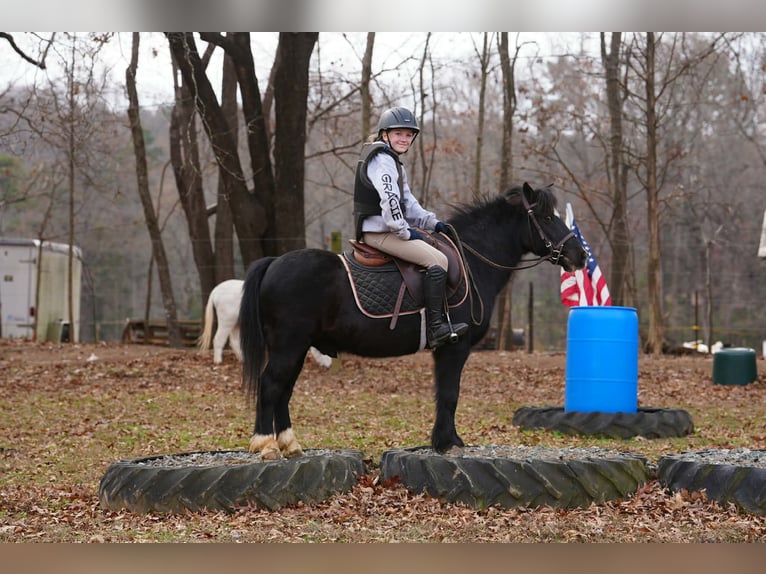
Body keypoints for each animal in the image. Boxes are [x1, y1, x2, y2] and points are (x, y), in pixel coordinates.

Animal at [199, 279, 332, 368]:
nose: (329, 365)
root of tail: (216, 290)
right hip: (227, 319)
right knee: (219, 338)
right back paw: (218, 361)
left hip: (236, 322)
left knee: (233, 341)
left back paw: (243, 360)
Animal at [239, 183, 588, 459]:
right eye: (546, 218)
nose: (580, 256)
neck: (471, 261)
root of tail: (274, 262)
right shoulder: (454, 347)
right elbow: (449, 393)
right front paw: (448, 442)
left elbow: (444, 393)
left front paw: (444, 440)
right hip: (288, 347)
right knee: (271, 386)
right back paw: (266, 445)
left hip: (296, 349)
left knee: (283, 390)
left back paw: (290, 445)